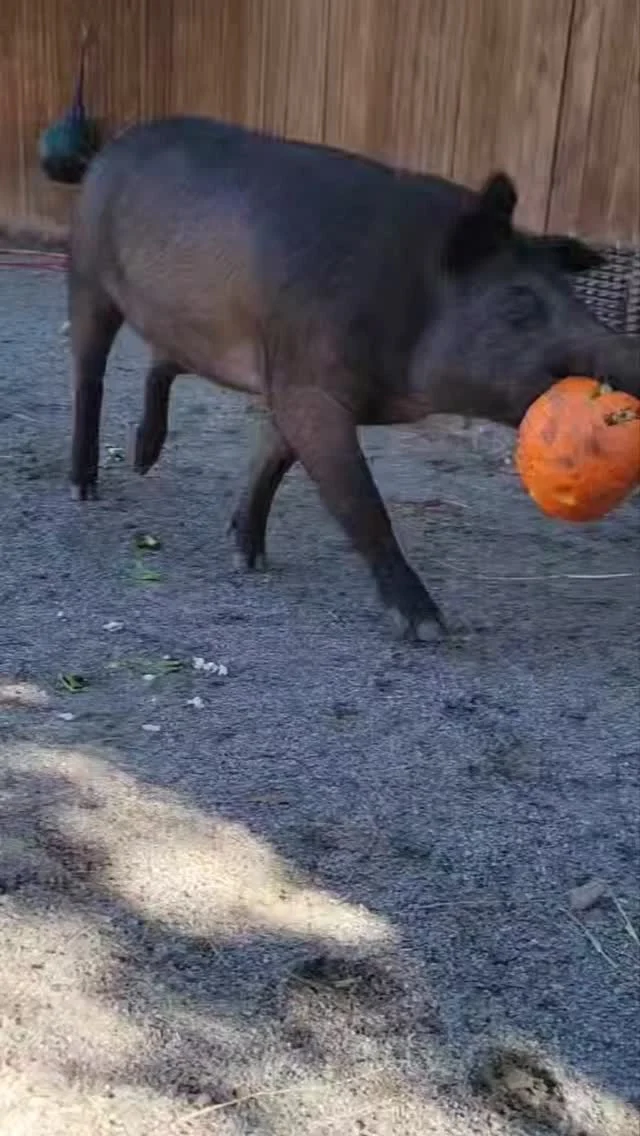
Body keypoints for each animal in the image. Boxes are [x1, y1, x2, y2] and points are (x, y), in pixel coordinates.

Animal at [51, 119, 640, 645]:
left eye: (575, 298)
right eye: (519, 303)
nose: (627, 355)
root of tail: (108, 150)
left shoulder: (290, 379)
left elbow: (272, 460)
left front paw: (250, 558)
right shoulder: (310, 384)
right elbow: (360, 500)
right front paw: (429, 628)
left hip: (194, 328)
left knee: (162, 363)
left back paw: (142, 460)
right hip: (86, 274)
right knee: (88, 376)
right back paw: (84, 488)